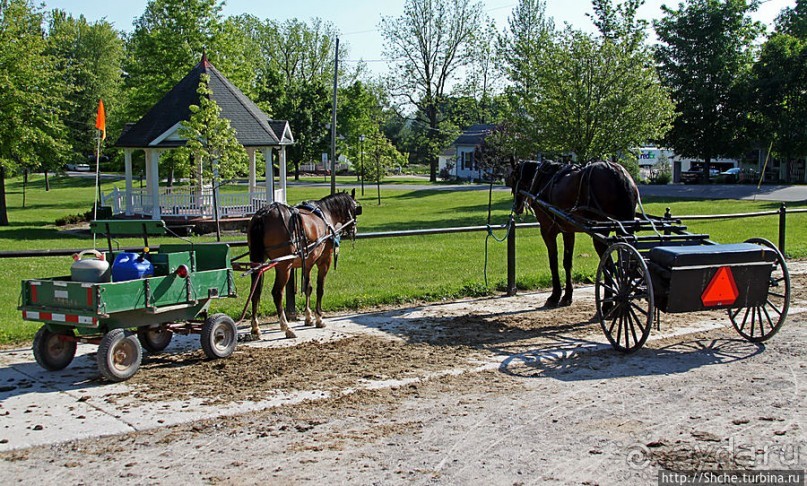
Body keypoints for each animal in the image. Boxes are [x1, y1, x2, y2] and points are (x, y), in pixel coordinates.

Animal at [245, 190, 362, 338]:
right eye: (355, 208)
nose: (354, 230)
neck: (326, 214)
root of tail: (263, 214)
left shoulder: (308, 262)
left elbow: (308, 287)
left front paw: (308, 317)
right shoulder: (324, 261)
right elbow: (320, 288)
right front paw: (319, 318)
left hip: (257, 261)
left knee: (254, 292)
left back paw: (255, 327)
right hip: (283, 266)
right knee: (277, 293)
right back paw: (286, 327)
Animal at [508, 159, 640, 308]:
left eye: (513, 177)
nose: (517, 206)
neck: (542, 178)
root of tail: (616, 172)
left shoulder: (547, 230)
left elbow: (553, 262)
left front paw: (555, 296)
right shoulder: (568, 231)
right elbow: (567, 262)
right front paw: (567, 295)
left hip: (601, 233)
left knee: (608, 265)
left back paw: (608, 303)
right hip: (624, 227)